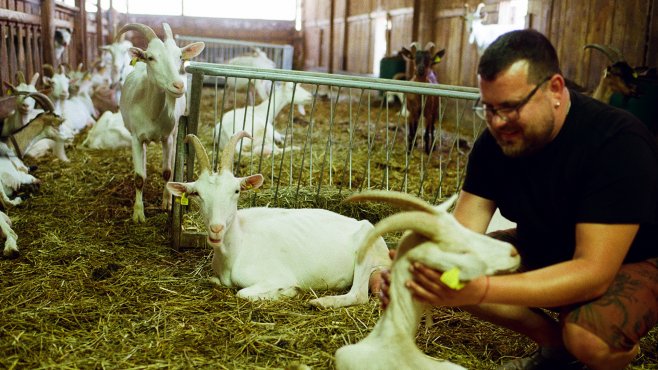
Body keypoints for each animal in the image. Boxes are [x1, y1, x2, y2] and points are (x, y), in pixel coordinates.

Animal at [167, 132, 390, 308]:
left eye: (236, 191)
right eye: (197, 194)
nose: (216, 228)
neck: (238, 246)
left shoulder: (275, 275)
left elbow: (242, 292)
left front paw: (288, 291)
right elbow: (213, 280)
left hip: (366, 252)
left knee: (359, 295)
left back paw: (320, 302)